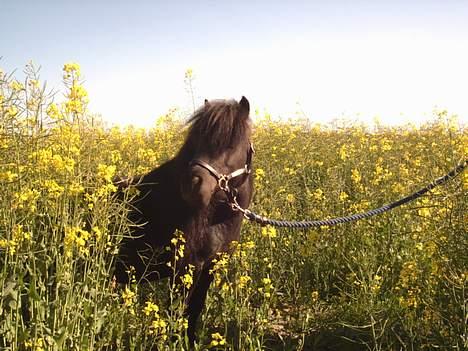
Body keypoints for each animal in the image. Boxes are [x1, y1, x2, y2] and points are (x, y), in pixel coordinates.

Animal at [114, 96, 254, 344]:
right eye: (196, 140)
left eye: (230, 142)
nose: (191, 185)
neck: (214, 219)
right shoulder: (185, 268)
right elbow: (177, 312)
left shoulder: (209, 267)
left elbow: (194, 310)